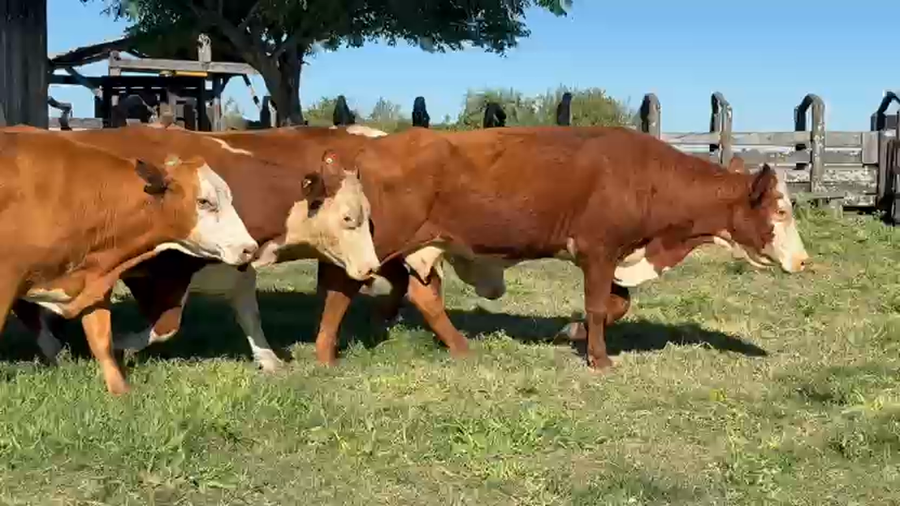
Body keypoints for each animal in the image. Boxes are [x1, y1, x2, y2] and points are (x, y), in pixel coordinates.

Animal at [0, 129, 258, 394]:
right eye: (204, 201)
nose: (249, 248)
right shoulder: (6, 280)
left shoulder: (96, 282)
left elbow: (101, 339)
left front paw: (121, 392)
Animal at [6, 124, 380, 372]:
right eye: (348, 218)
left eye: (368, 214)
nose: (371, 267)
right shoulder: (161, 269)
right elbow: (166, 324)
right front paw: (122, 344)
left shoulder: (237, 263)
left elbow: (249, 314)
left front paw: (268, 358)